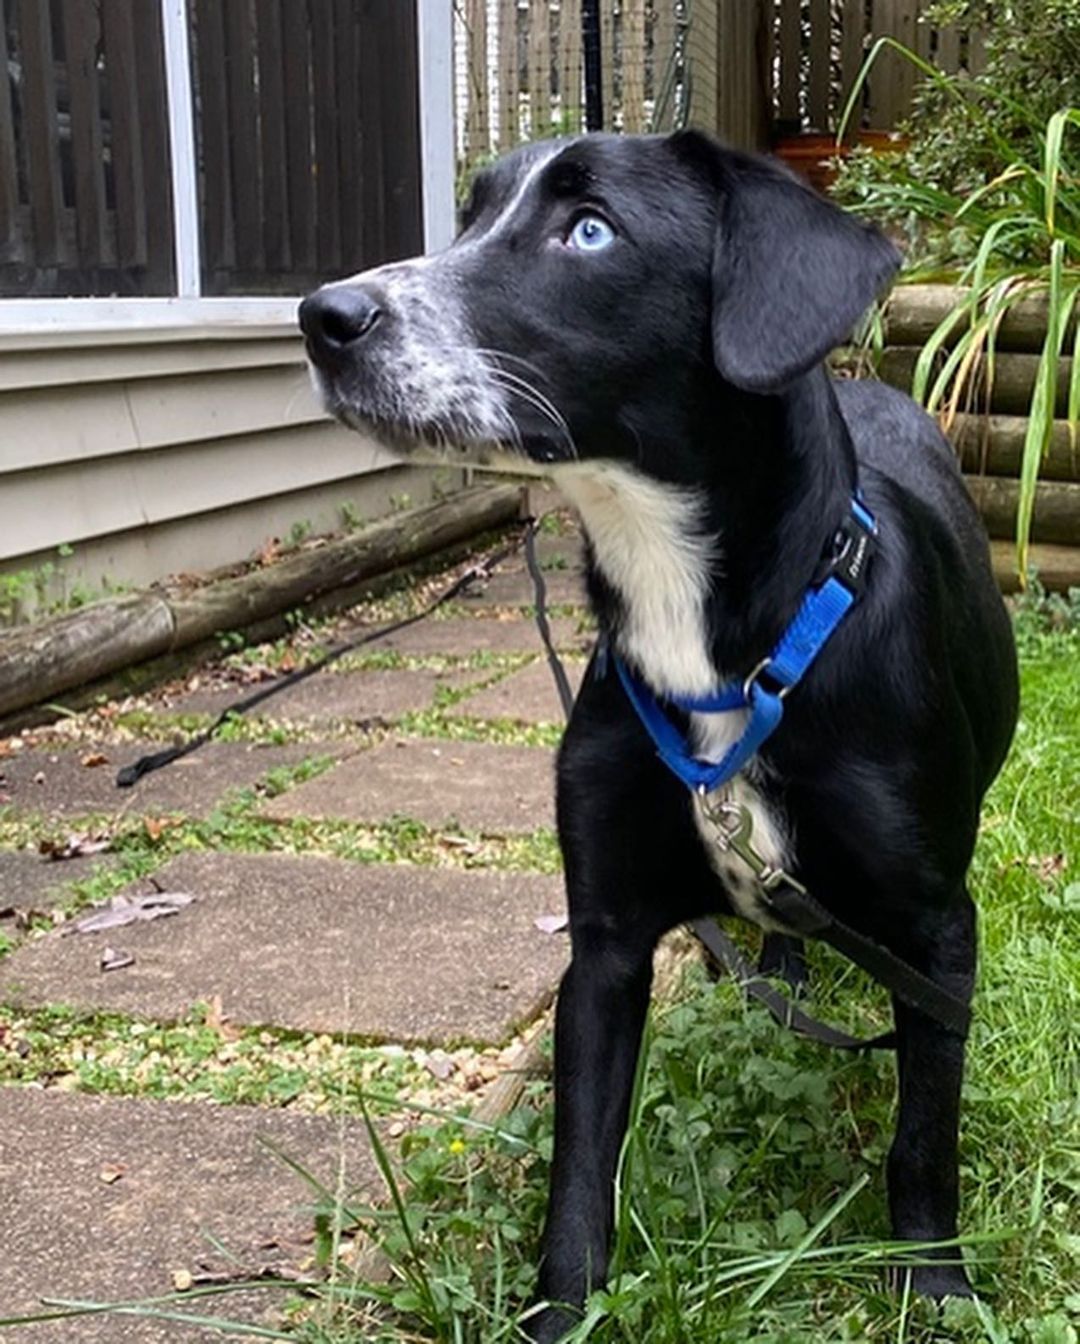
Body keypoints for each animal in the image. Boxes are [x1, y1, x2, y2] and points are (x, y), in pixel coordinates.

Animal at [296, 131, 1020, 1338]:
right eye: (470, 216)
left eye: (589, 229)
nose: (321, 315)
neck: (711, 639)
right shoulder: (605, 944)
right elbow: (580, 1167)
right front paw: (561, 1314)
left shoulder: (933, 932)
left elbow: (925, 1134)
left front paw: (935, 1287)